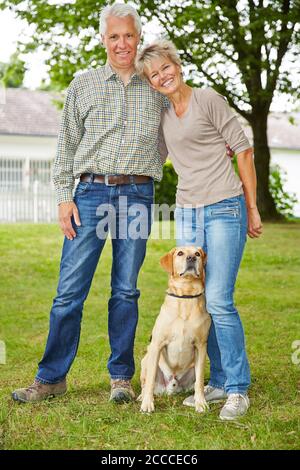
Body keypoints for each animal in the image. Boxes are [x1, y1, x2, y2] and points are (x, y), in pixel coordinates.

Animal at [139, 246, 211, 412]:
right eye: (180, 253)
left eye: (197, 253)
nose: (191, 258)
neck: (186, 297)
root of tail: (172, 386)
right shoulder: (157, 344)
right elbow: (150, 380)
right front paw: (147, 403)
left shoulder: (201, 346)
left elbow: (199, 381)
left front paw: (200, 402)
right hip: (146, 359)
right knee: (145, 383)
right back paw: (141, 396)